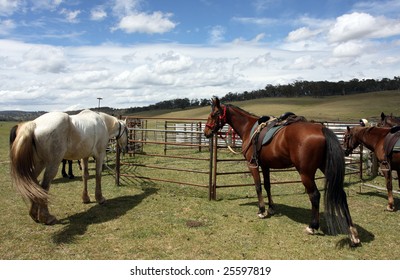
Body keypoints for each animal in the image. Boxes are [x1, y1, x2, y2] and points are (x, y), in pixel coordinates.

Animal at [203, 97, 360, 246]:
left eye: (214, 114)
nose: (206, 132)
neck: (249, 129)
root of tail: (321, 129)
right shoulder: (265, 166)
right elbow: (267, 186)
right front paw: (271, 208)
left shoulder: (252, 165)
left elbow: (258, 186)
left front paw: (262, 211)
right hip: (326, 168)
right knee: (341, 194)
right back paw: (353, 233)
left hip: (306, 173)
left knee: (315, 195)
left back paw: (312, 226)